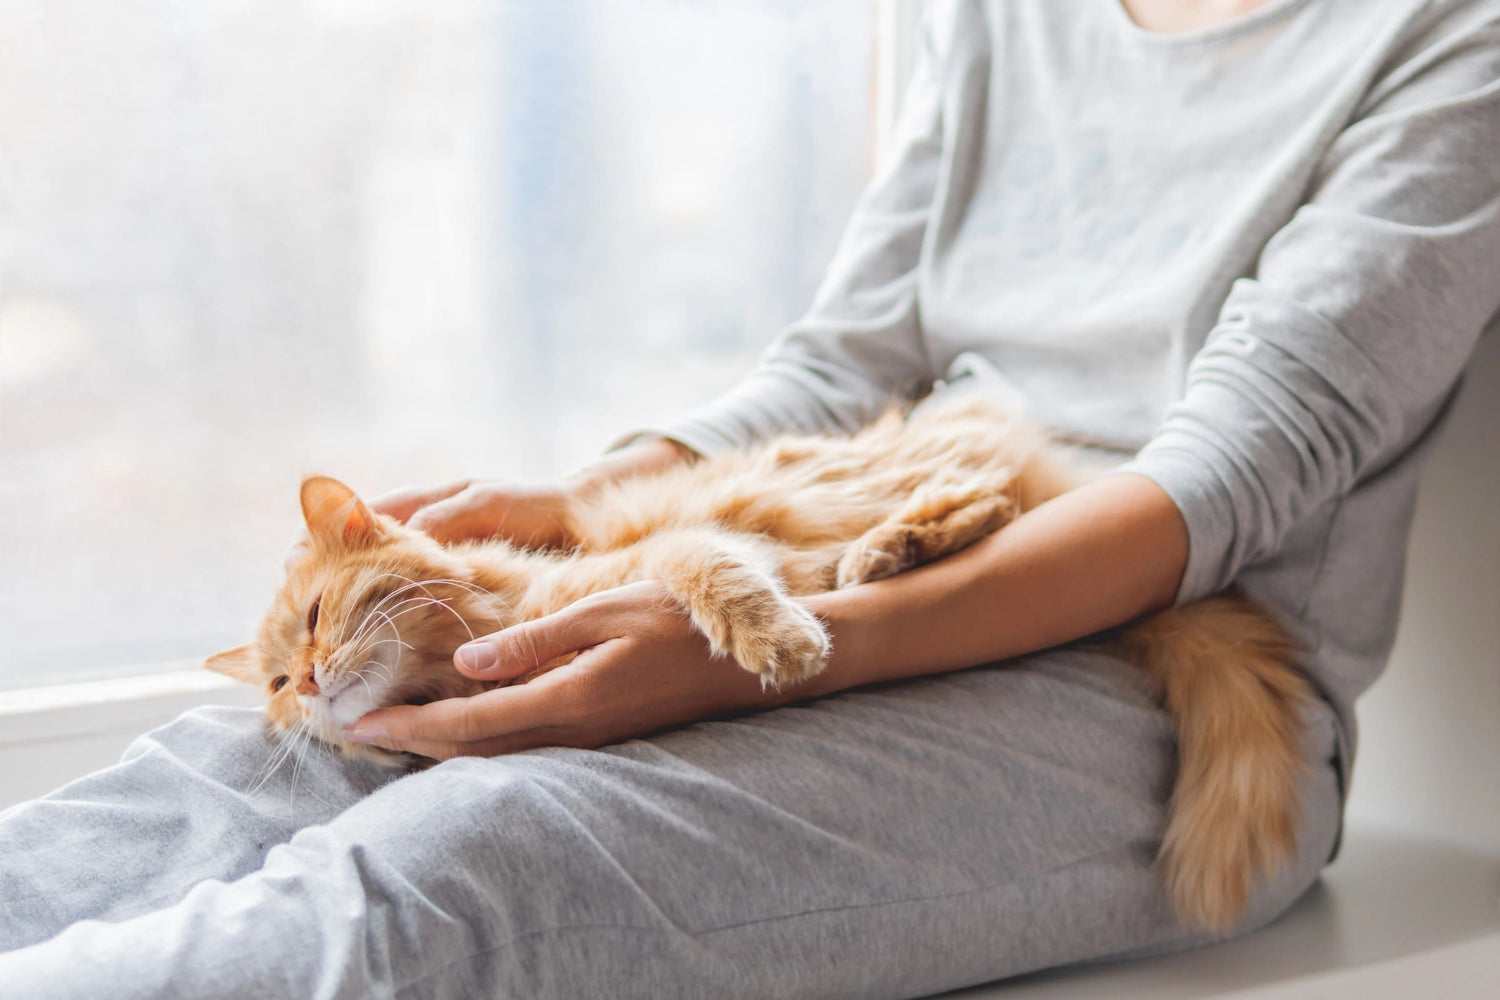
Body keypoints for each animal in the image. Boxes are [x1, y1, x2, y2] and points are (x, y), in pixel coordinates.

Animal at [205, 398, 1308, 941]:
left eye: (316, 622)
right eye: (276, 686)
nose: (310, 684)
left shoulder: (663, 559)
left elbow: (717, 571)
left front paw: (779, 640)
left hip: (886, 473)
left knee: (996, 497)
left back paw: (895, 547)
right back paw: (891, 554)